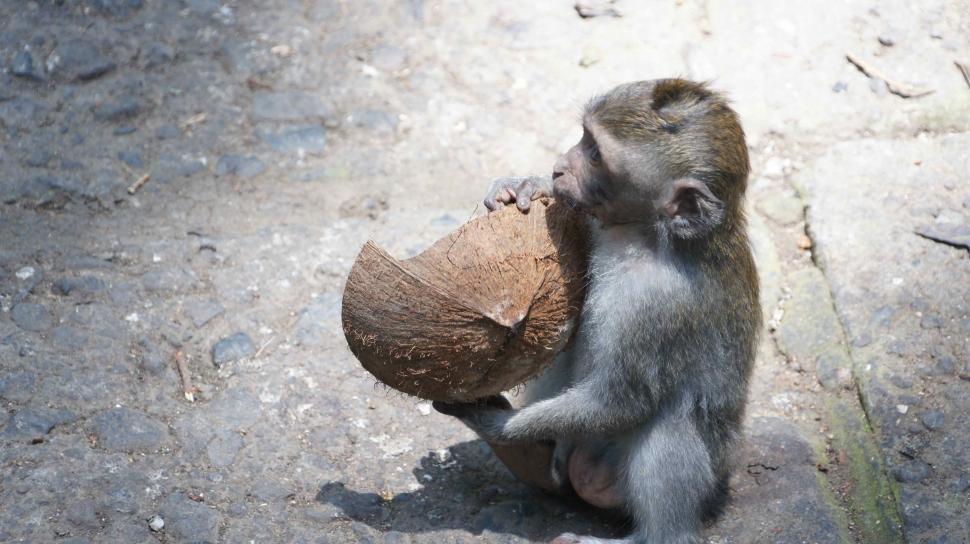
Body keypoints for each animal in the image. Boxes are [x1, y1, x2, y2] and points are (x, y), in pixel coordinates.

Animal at [434, 79, 760, 544]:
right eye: (584, 138)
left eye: (596, 156)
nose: (559, 168)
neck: (648, 238)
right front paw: (524, 185)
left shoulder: (656, 305)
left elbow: (618, 402)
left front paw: (497, 425)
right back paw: (537, 464)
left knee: (669, 425)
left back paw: (652, 535)